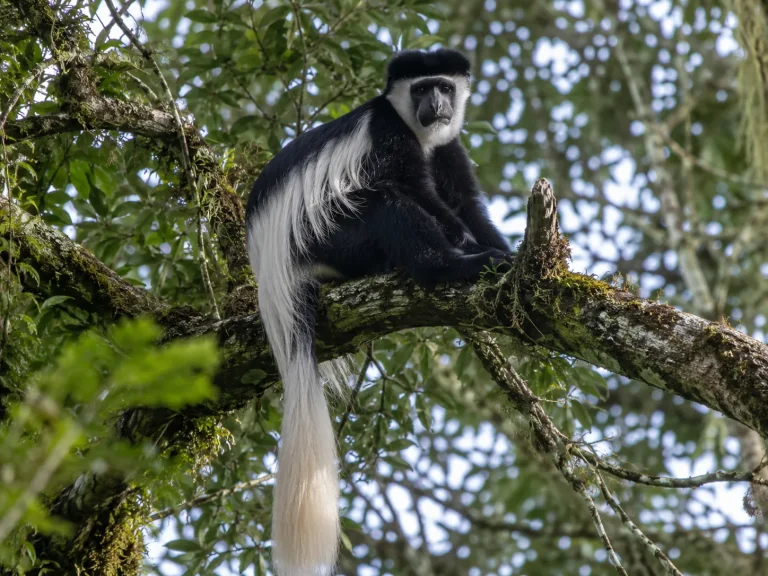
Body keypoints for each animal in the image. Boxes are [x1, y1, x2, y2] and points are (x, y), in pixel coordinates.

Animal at [245, 48, 512, 575]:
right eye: (421, 88)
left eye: (444, 87)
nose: (436, 105)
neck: (420, 133)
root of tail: (275, 273)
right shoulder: (387, 134)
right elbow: (412, 189)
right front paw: (472, 248)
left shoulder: (450, 150)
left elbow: (468, 204)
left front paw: (513, 255)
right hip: (327, 234)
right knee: (388, 205)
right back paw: (450, 265)